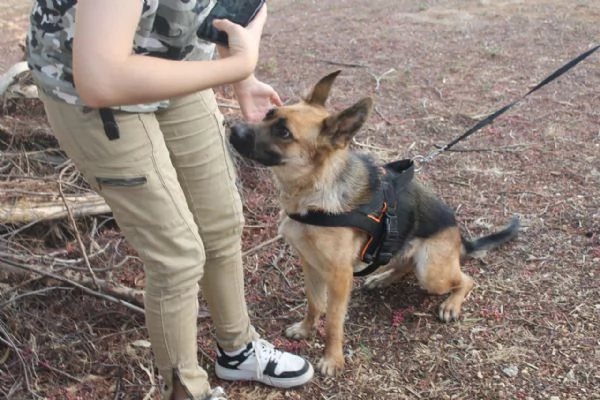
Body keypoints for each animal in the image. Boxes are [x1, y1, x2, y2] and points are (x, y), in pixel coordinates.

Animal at [227, 70, 516, 376]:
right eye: (268, 113)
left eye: (284, 133)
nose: (232, 129)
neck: (312, 192)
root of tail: (459, 235)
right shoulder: (310, 264)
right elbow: (314, 303)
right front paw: (306, 329)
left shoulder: (339, 277)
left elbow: (333, 321)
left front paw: (332, 359)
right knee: (403, 265)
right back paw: (381, 278)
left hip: (431, 272)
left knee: (466, 279)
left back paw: (451, 303)